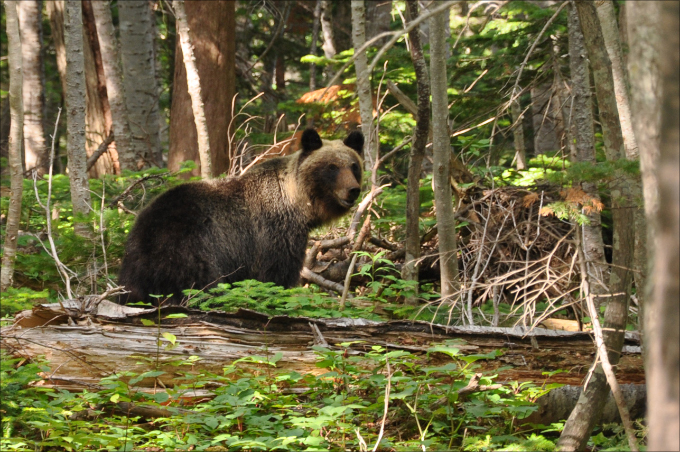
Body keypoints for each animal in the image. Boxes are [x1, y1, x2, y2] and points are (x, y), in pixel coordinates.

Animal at [118, 129, 362, 306]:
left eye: (354, 166)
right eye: (332, 167)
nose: (353, 190)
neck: (296, 202)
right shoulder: (274, 233)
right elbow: (276, 276)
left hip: (137, 261)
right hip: (189, 247)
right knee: (199, 286)